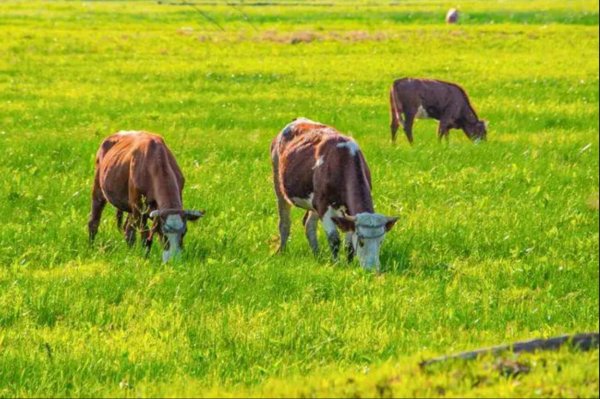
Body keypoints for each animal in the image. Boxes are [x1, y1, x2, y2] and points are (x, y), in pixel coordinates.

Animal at [87, 130, 204, 262]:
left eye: (184, 232)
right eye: (162, 232)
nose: (173, 261)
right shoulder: (138, 208)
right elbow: (145, 235)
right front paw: (146, 258)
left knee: (128, 229)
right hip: (98, 189)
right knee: (94, 222)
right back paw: (91, 248)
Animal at [272, 117, 398, 270]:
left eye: (381, 241)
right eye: (361, 241)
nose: (372, 269)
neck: (342, 162)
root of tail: (298, 119)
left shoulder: (346, 212)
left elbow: (349, 245)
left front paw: (349, 264)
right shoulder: (323, 205)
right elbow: (334, 239)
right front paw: (336, 264)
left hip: (313, 203)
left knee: (309, 225)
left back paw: (317, 255)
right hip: (279, 185)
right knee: (284, 222)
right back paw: (281, 251)